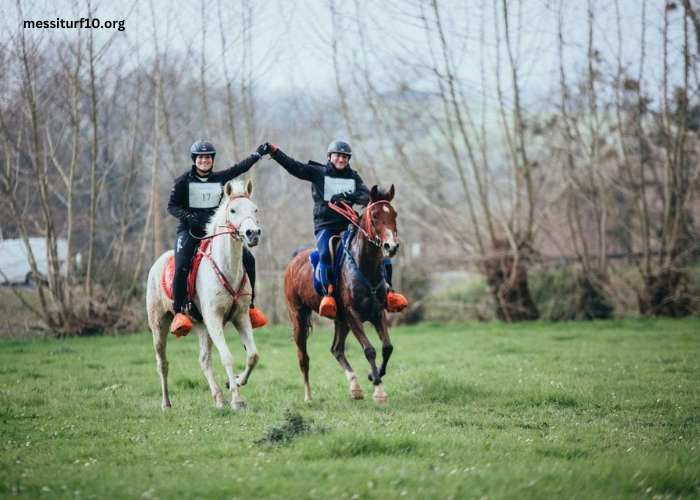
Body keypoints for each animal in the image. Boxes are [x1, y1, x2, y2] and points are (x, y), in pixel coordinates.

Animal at [145, 180, 262, 410]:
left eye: (254, 209)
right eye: (233, 210)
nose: (252, 233)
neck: (226, 268)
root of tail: (157, 263)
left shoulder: (240, 316)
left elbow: (252, 355)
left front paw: (233, 382)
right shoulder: (214, 318)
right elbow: (227, 357)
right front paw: (237, 398)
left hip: (201, 326)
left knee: (204, 360)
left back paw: (219, 397)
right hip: (159, 324)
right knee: (162, 363)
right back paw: (166, 403)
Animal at [284, 186, 400, 404]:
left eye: (394, 214)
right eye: (374, 215)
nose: (391, 246)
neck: (365, 266)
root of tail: (295, 259)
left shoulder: (376, 312)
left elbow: (387, 347)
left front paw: (373, 375)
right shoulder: (353, 314)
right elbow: (369, 349)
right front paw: (379, 390)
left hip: (341, 321)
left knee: (336, 349)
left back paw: (355, 387)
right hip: (299, 316)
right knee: (303, 357)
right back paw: (308, 396)